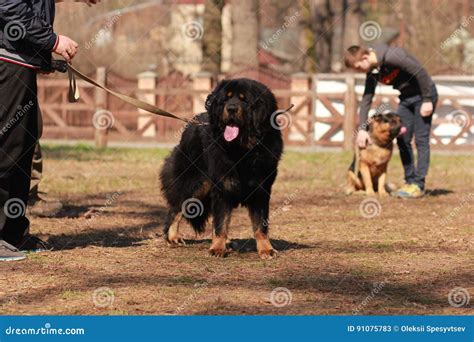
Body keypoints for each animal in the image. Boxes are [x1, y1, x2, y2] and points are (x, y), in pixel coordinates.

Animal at [161, 78, 284, 260]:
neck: (242, 151)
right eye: (226, 99)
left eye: (244, 100)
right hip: (195, 183)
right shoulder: (221, 187)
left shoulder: (261, 190)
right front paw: (217, 248)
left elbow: (260, 225)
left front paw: (266, 249)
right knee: (176, 208)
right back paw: (173, 237)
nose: (231, 108)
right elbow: (220, 223)